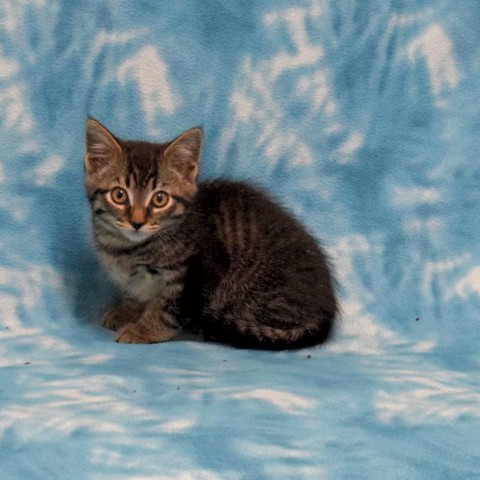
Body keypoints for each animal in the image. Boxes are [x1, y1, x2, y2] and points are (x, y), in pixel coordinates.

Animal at [83, 120, 338, 350]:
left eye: (160, 199)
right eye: (119, 195)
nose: (137, 222)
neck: (127, 249)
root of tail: (326, 314)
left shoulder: (194, 274)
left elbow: (168, 308)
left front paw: (145, 330)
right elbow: (139, 293)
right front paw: (127, 311)